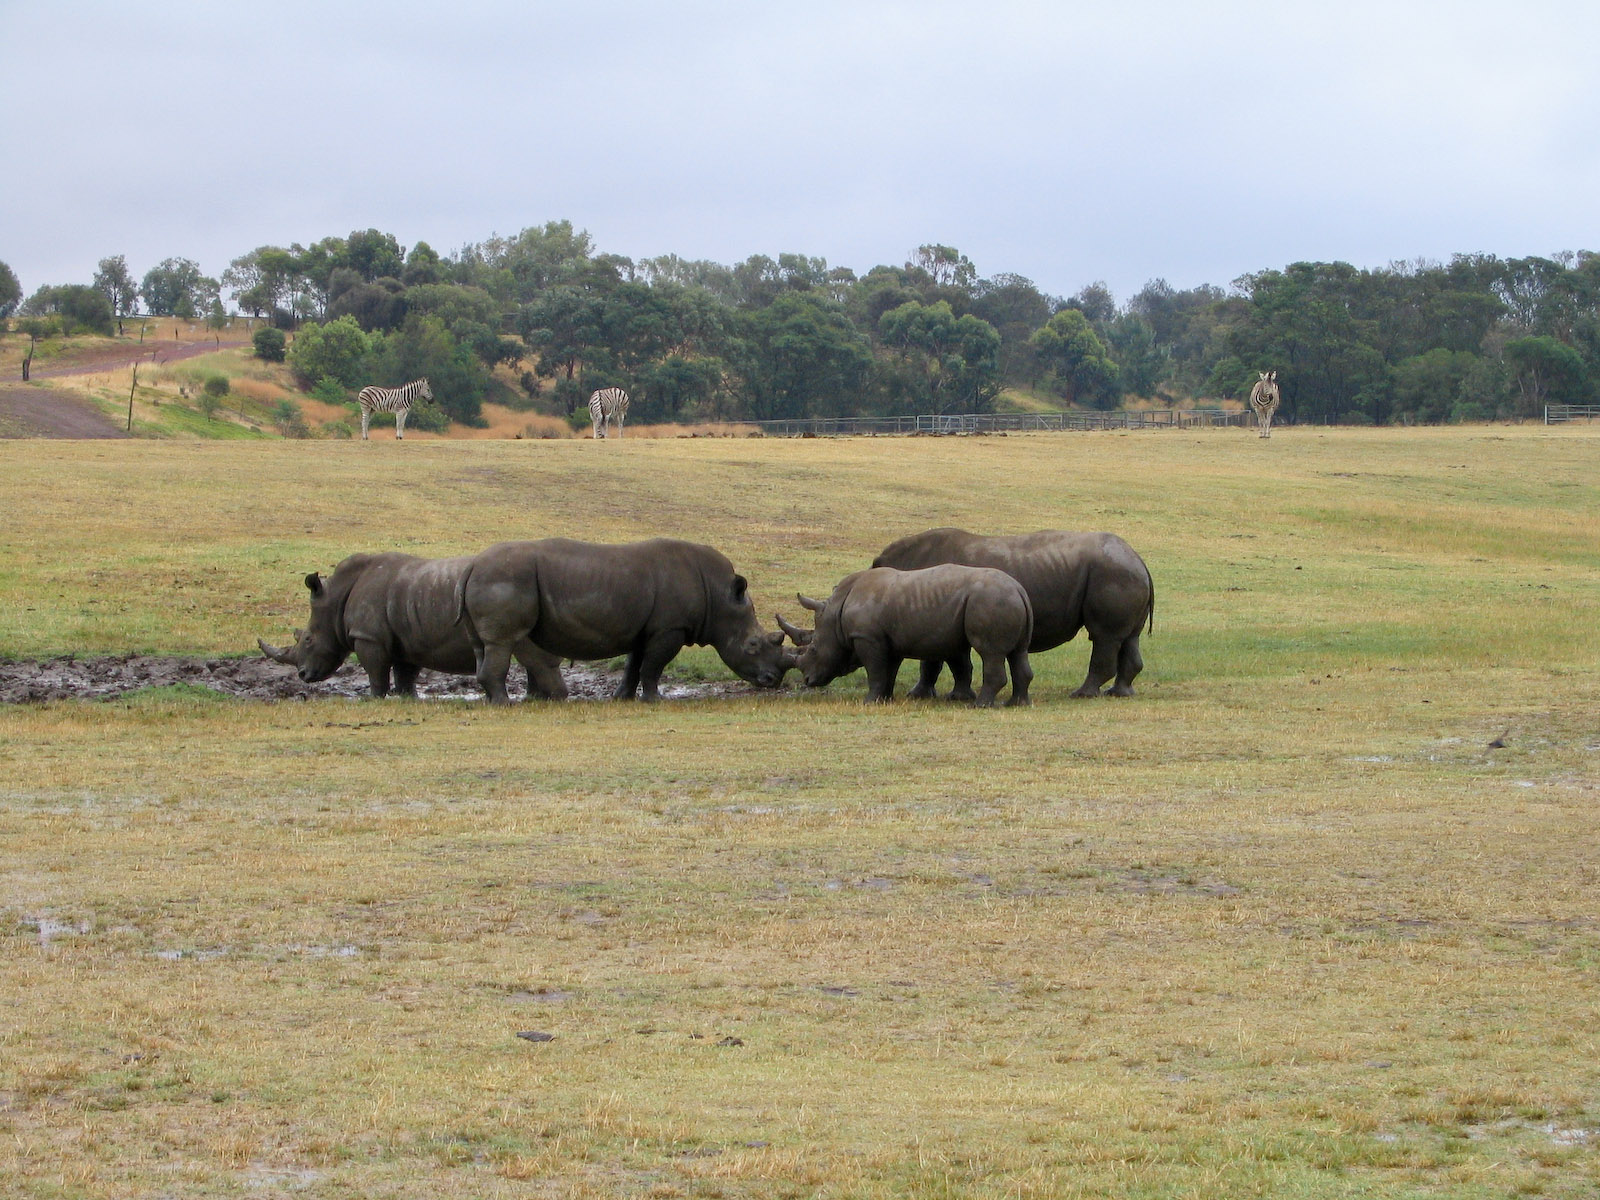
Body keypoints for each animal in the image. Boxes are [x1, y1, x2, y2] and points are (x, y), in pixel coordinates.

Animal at [259, 552, 566, 700]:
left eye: (307, 639)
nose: (302, 675)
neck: (336, 597)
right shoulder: (406, 637)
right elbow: (406, 672)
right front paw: (408, 698)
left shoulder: (368, 636)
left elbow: (375, 671)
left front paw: (373, 699)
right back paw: (534, 698)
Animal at [458, 537, 792, 703]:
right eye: (752, 644)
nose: (772, 680)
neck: (720, 597)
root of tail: (472, 565)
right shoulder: (670, 628)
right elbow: (653, 665)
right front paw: (655, 700)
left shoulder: (647, 628)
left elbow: (635, 663)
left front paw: (623, 698)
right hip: (504, 577)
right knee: (502, 641)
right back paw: (503, 703)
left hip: (491, 578)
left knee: (481, 644)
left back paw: (491, 700)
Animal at [776, 564, 1034, 707]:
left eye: (813, 649)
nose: (807, 681)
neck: (835, 614)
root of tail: (1019, 589)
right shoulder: (888, 640)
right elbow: (887, 671)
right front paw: (884, 700)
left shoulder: (867, 637)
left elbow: (875, 671)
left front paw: (868, 702)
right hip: (1002, 599)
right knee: (1018, 652)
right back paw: (1016, 704)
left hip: (990, 600)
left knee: (990, 652)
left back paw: (980, 706)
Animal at [872, 528, 1153, 699]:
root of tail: (1139, 559)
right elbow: (942, 659)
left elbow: (931, 660)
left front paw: (916, 695)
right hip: (1123, 572)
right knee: (1129, 637)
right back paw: (1119, 693)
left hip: (1112, 573)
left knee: (1104, 636)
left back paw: (1081, 694)